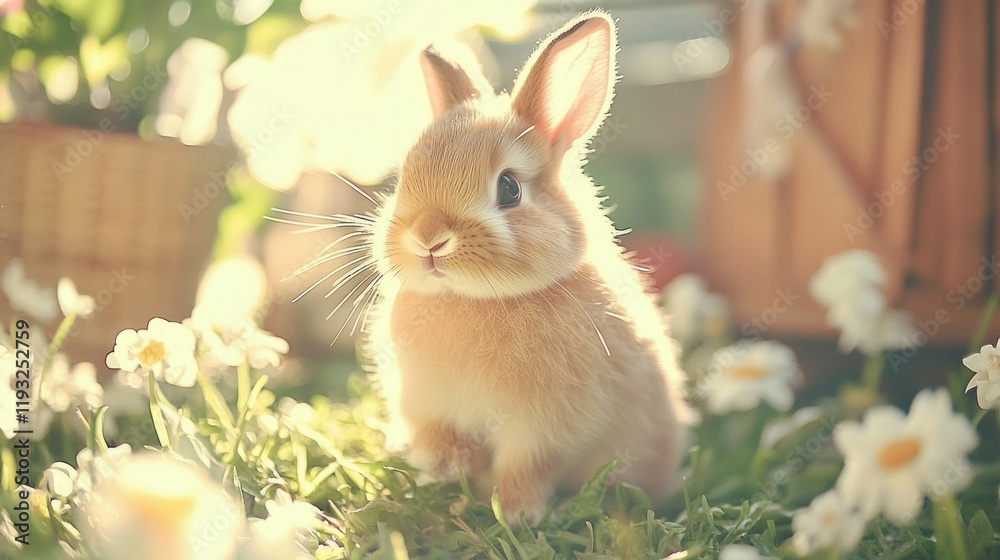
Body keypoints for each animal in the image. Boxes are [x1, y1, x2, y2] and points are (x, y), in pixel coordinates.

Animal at [364, 10, 691, 524]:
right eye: (404, 179)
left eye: (509, 189)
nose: (428, 239)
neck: (473, 299)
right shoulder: (427, 404)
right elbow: (438, 435)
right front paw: (443, 468)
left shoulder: (542, 429)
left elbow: (526, 466)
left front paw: (518, 512)